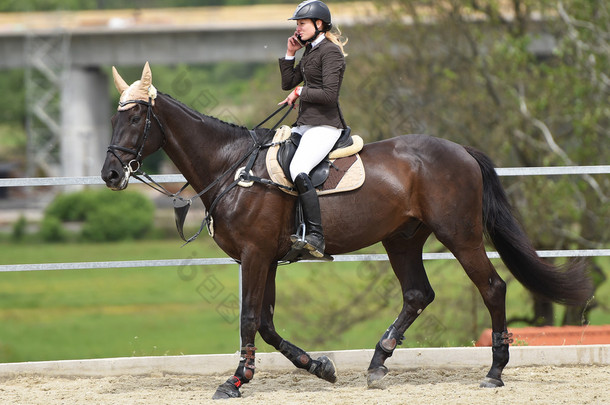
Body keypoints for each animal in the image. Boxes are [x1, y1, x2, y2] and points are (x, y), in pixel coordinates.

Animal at [102, 63, 592, 398]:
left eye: (135, 119)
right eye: (114, 119)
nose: (110, 174)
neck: (233, 168)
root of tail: (460, 150)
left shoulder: (255, 255)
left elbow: (249, 320)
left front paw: (236, 381)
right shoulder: (266, 258)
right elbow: (266, 323)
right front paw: (320, 366)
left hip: (460, 235)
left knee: (492, 287)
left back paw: (494, 372)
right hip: (402, 239)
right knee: (417, 294)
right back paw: (378, 363)